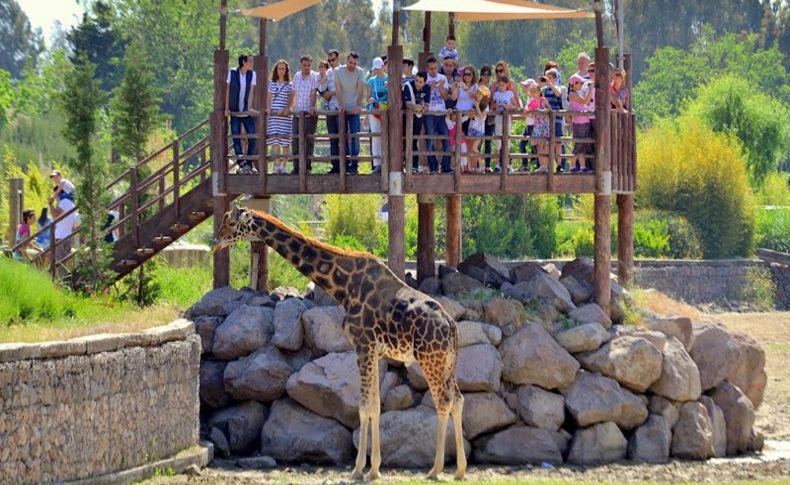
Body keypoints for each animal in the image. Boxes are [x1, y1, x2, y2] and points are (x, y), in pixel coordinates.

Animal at [213, 203, 468, 476]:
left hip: (430, 359)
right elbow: (375, 405)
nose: (215, 242)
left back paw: (435, 469)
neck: (343, 285)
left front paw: (360, 469)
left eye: (230, 223)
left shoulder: (363, 345)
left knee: (443, 401)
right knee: (457, 400)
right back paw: (460, 470)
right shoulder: (374, 351)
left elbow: (365, 407)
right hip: (447, 362)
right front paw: (373, 468)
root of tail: (451, 326)